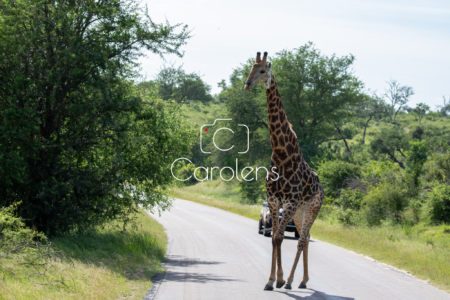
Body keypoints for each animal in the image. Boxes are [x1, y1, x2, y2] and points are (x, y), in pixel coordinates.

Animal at [243, 51, 324, 290]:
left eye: (263, 70)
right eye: (251, 68)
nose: (247, 84)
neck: (281, 153)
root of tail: (322, 188)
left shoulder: (288, 202)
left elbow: (279, 237)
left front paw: (277, 280)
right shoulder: (274, 201)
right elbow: (273, 238)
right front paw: (272, 279)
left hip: (312, 208)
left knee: (303, 239)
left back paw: (291, 281)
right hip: (300, 212)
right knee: (305, 239)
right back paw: (302, 281)